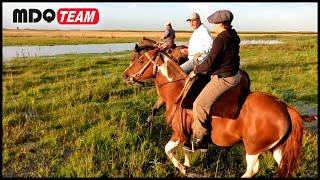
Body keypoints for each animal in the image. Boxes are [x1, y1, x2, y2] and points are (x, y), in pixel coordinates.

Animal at [122, 48, 312, 179]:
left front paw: (182, 168)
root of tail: (284, 107)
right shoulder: (187, 135)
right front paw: (187, 166)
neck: (178, 93)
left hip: (253, 149)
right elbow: (186, 151)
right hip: (276, 149)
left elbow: (168, 150)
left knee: (251, 170)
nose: (125, 76)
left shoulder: (178, 134)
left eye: (140, 60)